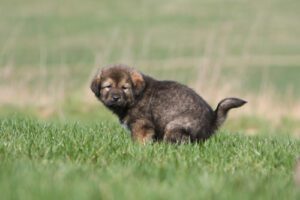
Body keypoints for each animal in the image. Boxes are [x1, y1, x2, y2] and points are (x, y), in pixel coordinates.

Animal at [91, 64, 246, 144]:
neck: (135, 97)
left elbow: (139, 139)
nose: (115, 97)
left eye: (124, 87)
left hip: (174, 126)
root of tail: (212, 119)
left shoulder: (142, 124)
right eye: (108, 86)